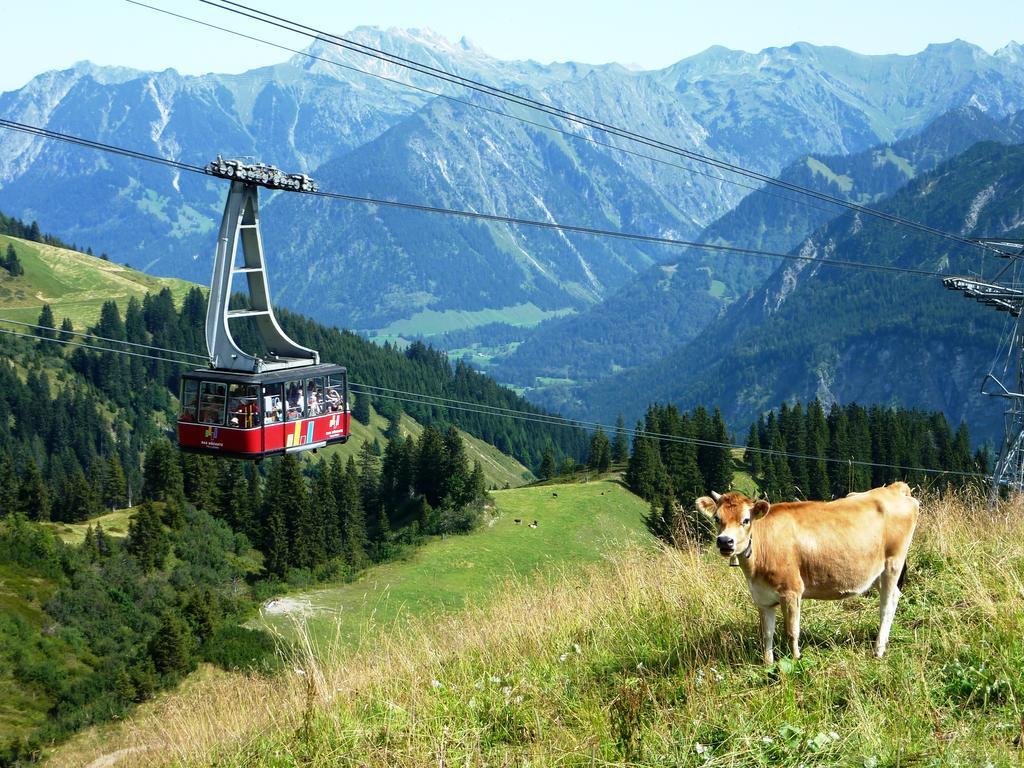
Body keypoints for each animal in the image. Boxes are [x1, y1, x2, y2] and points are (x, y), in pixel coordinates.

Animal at [696, 483, 921, 663]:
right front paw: (768, 664)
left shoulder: (791, 591)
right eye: (717, 518)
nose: (725, 541)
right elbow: (766, 633)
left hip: (893, 563)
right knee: (894, 597)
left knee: (887, 605)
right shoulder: (762, 598)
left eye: (745, 520)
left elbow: (792, 631)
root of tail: (893, 488)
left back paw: (878, 650)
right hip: (876, 572)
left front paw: (796, 661)